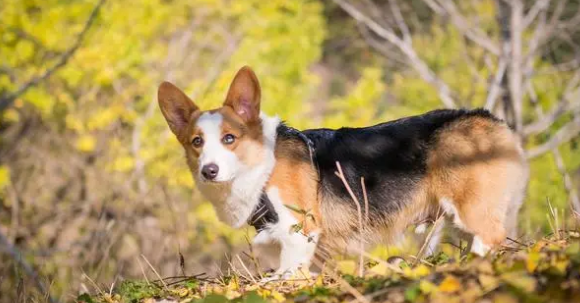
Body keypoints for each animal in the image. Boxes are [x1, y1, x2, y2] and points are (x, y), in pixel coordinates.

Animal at [159, 66, 532, 278]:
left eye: (229, 139)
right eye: (196, 142)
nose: (209, 171)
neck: (262, 165)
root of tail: (492, 121)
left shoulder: (300, 229)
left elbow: (288, 275)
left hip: (471, 208)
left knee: (490, 239)